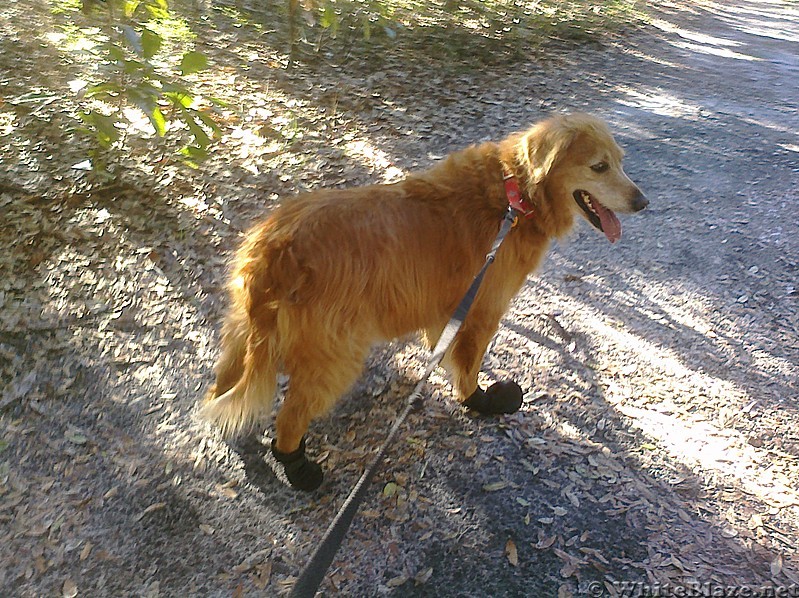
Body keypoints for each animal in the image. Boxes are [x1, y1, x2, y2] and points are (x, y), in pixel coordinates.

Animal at [202, 113, 648, 492]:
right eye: (599, 166)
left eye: (620, 162)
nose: (643, 203)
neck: (515, 194)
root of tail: (277, 246)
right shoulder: (482, 311)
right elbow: (468, 366)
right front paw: (481, 402)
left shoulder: (448, 312)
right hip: (333, 357)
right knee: (290, 417)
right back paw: (298, 468)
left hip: (244, 333)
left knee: (225, 386)